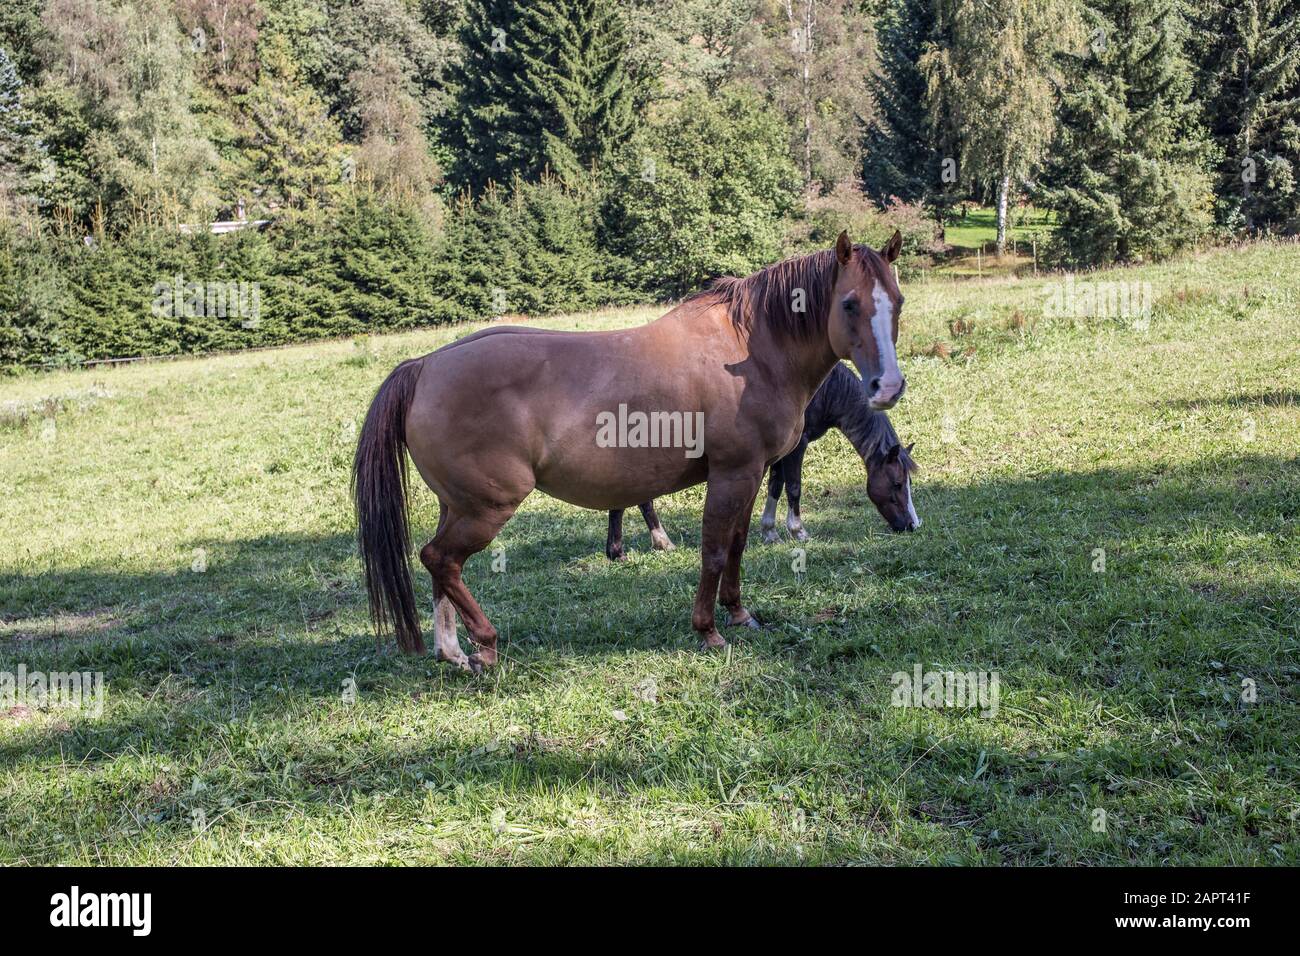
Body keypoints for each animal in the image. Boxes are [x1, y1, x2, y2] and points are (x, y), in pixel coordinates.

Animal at [605, 364, 920, 561]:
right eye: (897, 484)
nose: (912, 526)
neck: (825, 391)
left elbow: (775, 486)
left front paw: (770, 532)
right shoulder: (798, 446)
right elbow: (793, 487)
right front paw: (798, 531)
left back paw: (626, 548)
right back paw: (649, 543)